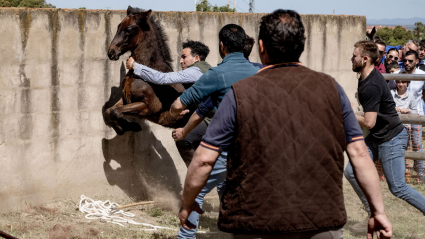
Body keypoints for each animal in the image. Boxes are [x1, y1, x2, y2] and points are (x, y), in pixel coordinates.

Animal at [104, 6, 192, 135]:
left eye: (129, 29)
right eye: (118, 26)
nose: (111, 52)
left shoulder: (149, 107)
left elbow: (115, 111)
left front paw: (130, 127)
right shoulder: (125, 99)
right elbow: (109, 112)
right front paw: (127, 127)